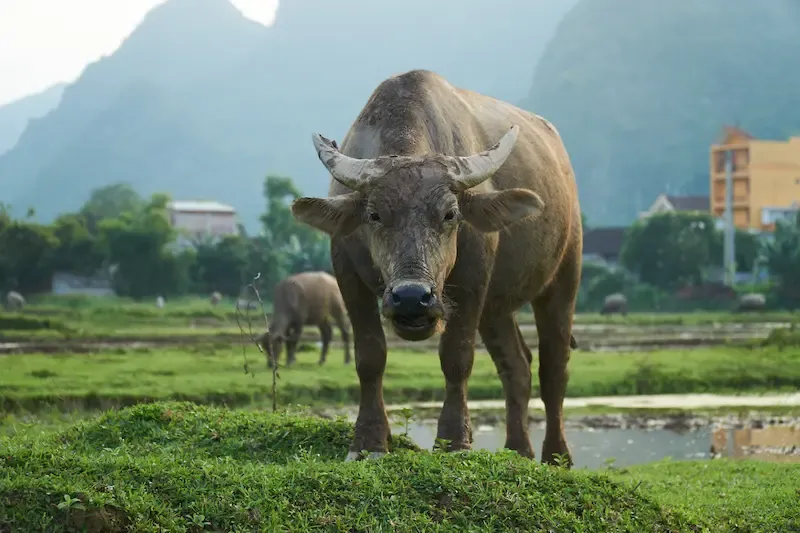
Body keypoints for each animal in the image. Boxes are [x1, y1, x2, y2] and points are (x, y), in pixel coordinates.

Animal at [292, 70, 582, 465]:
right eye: (374, 214)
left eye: (450, 214)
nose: (412, 297)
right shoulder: (346, 272)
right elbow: (369, 356)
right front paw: (369, 441)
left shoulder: (473, 279)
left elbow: (457, 357)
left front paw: (454, 441)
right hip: (496, 307)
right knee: (517, 365)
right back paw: (517, 451)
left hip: (565, 275)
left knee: (554, 367)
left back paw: (556, 457)